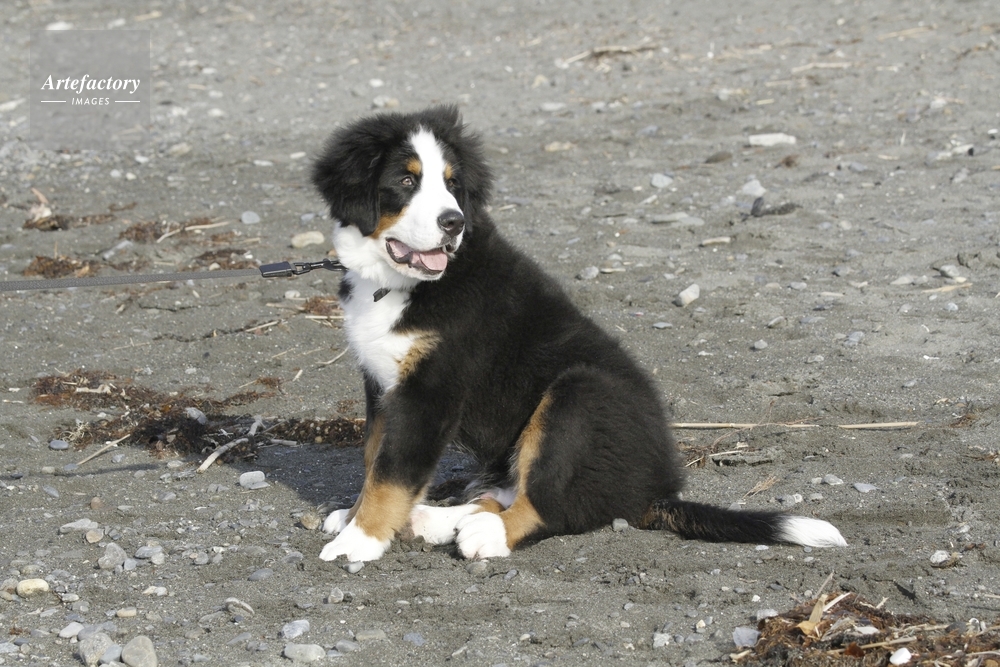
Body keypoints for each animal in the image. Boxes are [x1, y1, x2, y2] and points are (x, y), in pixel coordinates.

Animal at [311, 105, 846, 562]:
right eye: (406, 180)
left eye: (452, 184)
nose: (453, 223)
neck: (394, 284)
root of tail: (656, 490)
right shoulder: (383, 385)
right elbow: (375, 455)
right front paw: (355, 517)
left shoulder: (431, 390)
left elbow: (393, 472)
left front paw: (360, 540)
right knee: (513, 489)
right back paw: (438, 520)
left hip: (580, 392)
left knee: (552, 503)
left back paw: (483, 533)